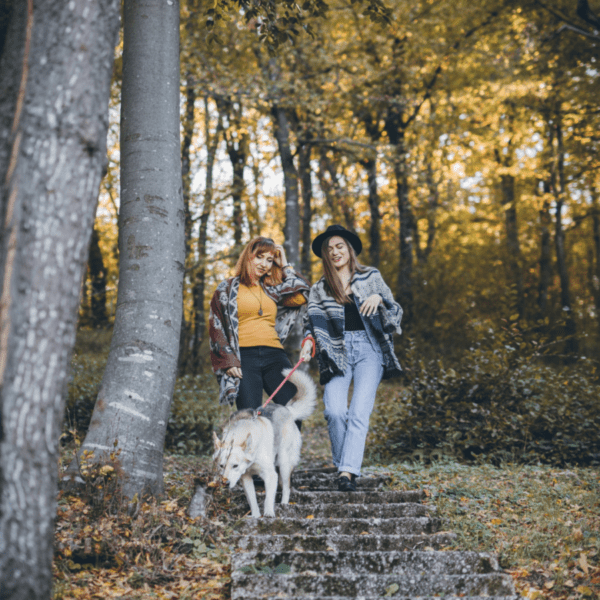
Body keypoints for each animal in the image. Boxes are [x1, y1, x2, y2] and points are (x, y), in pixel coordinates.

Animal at [212, 368, 316, 516]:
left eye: (235, 466)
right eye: (221, 466)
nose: (225, 483)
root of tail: (287, 410)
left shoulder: (270, 475)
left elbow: (268, 498)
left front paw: (268, 514)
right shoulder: (246, 478)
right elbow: (253, 500)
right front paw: (256, 516)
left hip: (283, 463)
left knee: (286, 487)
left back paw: (284, 504)